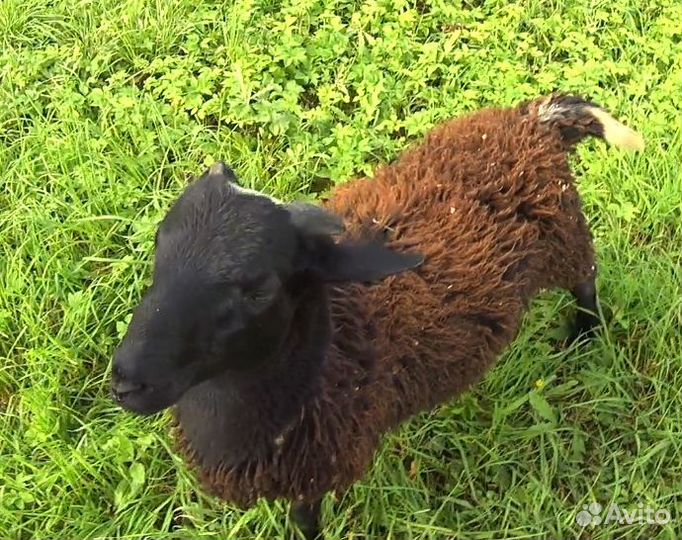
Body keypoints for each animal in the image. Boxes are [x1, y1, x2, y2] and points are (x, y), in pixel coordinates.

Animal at [111, 93, 643, 539]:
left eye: (259, 289)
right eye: (159, 244)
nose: (127, 382)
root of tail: (532, 120)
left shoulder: (317, 469)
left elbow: (305, 523)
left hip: (565, 236)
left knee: (586, 282)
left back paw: (584, 335)